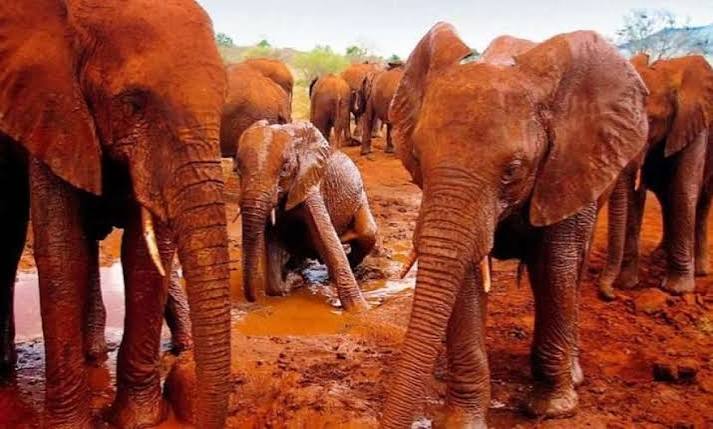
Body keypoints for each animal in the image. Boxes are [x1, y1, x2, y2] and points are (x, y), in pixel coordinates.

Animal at [0, 1, 232, 428]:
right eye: (132, 104)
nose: (181, 375)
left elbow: (143, 257)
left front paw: (139, 419)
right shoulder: (53, 106)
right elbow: (63, 251)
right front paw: (71, 425)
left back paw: (94, 354)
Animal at [235, 121, 376, 311]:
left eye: (285, 169)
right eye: (237, 171)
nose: (252, 299)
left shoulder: (309, 182)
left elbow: (327, 238)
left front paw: (360, 310)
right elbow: (272, 240)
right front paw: (293, 282)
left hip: (361, 199)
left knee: (368, 233)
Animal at [380, 24, 648, 428]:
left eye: (513, 171)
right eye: (418, 157)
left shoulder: (567, 166)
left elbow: (554, 267)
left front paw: (553, 408)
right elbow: (468, 277)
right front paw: (462, 421)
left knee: (571, 270)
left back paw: (572, 374)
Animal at [597, 53, 713, 299]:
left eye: (651, 121)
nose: (610, 295)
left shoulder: (694, 122)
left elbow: (684, 189)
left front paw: (676, 289)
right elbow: (635, 198)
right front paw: (626, 284)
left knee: (701, 198)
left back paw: (700, 271)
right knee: (665, 197)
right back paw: (659, 256)